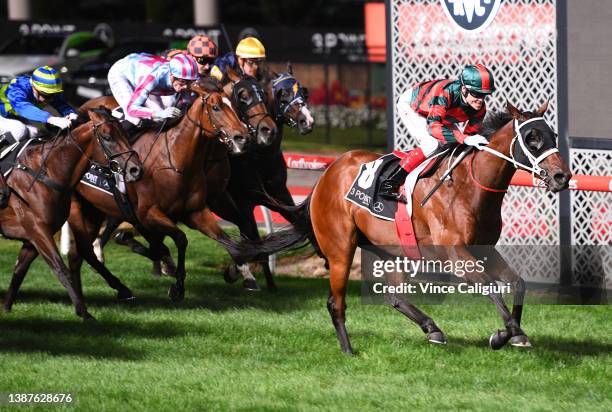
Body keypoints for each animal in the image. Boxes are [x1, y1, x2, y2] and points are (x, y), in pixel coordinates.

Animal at [1, 108, 142, 320]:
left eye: (125, 134)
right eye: (107, 137)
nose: (135, 169)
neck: (47, 173)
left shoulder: (33, 237)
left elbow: (19, 270)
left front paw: (6, 308)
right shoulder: (38, 230)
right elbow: (61, 269)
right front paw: (84, 312)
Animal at [67, 79, 249, 300]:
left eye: (233, 105)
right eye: (216, 107)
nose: (242, 137)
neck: (177, 160)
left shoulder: (195, 212)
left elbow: (225, 239)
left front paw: (237, 272)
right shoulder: (148, 214)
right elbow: (179, 239)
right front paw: (177, 285)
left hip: (94, 210)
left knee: (84, 251)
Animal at [231, 102, 572, 354]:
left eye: (553, 135)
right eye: (532, 138)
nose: (561, 177)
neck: (469, 187)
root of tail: (326, 176)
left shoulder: (484, 251)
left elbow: (518, 282)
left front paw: (515, 335)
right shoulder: (456, 254)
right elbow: (489, 286)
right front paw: (504, 335)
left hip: (389, 250)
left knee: (393, 294)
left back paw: (432, 329)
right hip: (341, 249)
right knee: (335, 302)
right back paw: (348, 350)